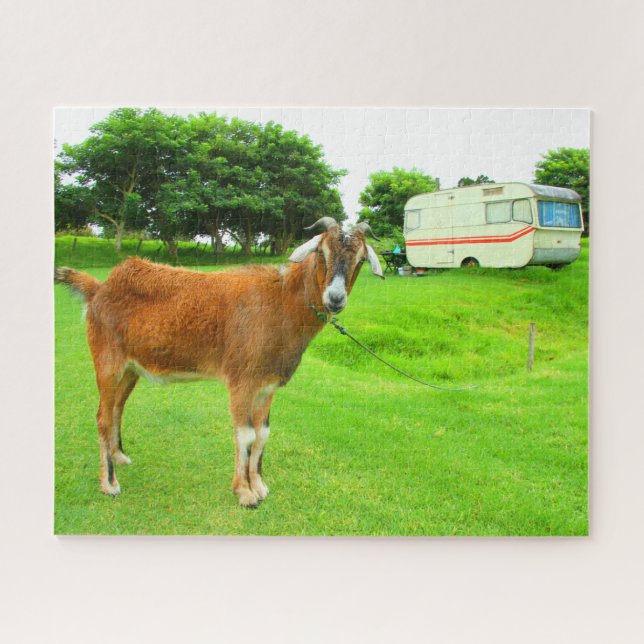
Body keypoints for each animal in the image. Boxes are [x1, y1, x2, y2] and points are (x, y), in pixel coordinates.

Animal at [55, 218, 383, 507]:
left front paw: (259, 484)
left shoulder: (266, 386)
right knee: (103, 416)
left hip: (130, 369)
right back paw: (109, 483)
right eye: (322, 253)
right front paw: (245, 493)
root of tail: (98, 289)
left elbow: (263, 434)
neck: (280, 302)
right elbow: (246, 435)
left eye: (360, 260)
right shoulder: (242, 381)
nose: (335, 298)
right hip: (107, 360)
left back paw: (119, 456)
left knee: (116, 409)